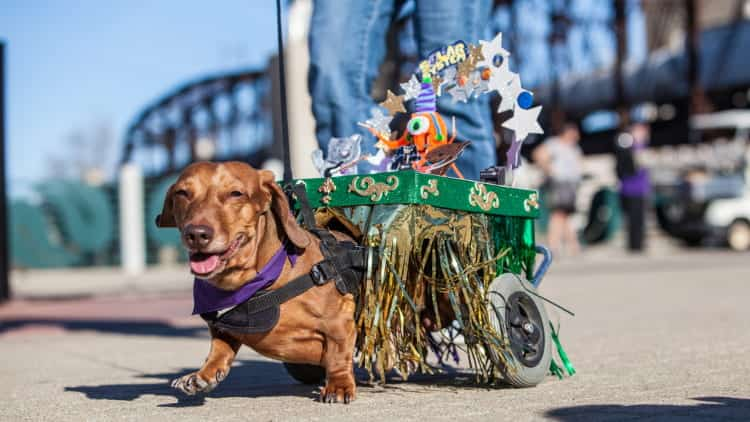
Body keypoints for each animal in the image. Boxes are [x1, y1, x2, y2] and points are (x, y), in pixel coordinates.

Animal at [156, 161, 358, 402]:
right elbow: (219, 349)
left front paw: (338, 385)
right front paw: (203, 375)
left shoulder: (339, 320)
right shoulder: (225, 329)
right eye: (182, 193)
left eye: (236, 193)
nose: (196, 234)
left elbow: (338, 353)